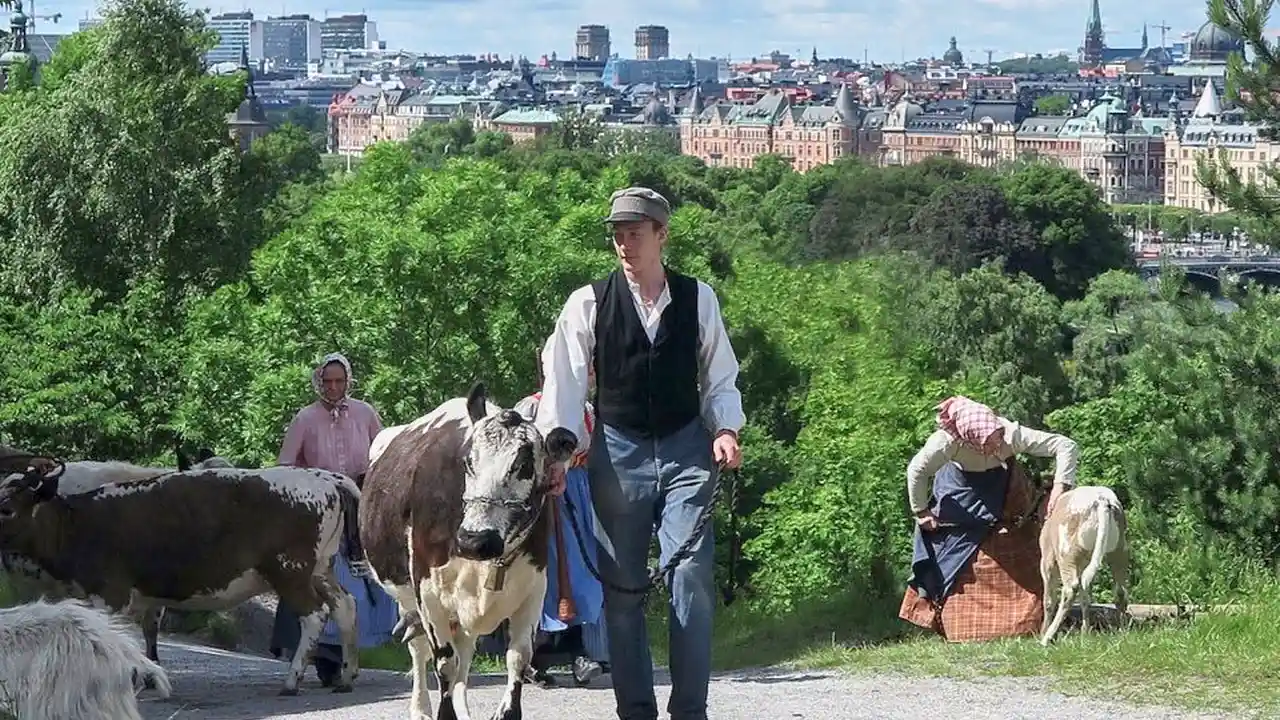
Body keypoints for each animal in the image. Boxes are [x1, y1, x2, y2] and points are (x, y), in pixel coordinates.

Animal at [0, 456, 366, 691]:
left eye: (6, 508)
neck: (79, 521)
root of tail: (323, 477)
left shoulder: (111, 593)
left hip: (290, 572)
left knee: (315, 615)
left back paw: (292, 681)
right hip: (320, 571)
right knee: (345, 606)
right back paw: (347, 676)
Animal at [363, 381, 578, 717]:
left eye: (524, 466)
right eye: (468, 462)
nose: (475, 540)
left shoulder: (533, 590)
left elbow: (518, 658)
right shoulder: (428, 595)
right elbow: (445, 663)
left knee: (464, 653)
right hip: (407, 599)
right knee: (421, 650)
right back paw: (420, 708)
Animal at [1039, 481, 1131, 645]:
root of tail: (1102, 500)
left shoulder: (1047, 562)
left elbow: (1049, 600)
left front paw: (1043, 632)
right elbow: (1085, 597)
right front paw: (1085, 633)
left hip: (1066, 555)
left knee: (1070, 589)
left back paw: (1047, 638)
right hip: (1119, 550)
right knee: (1119, 591)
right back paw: (1122, 631)